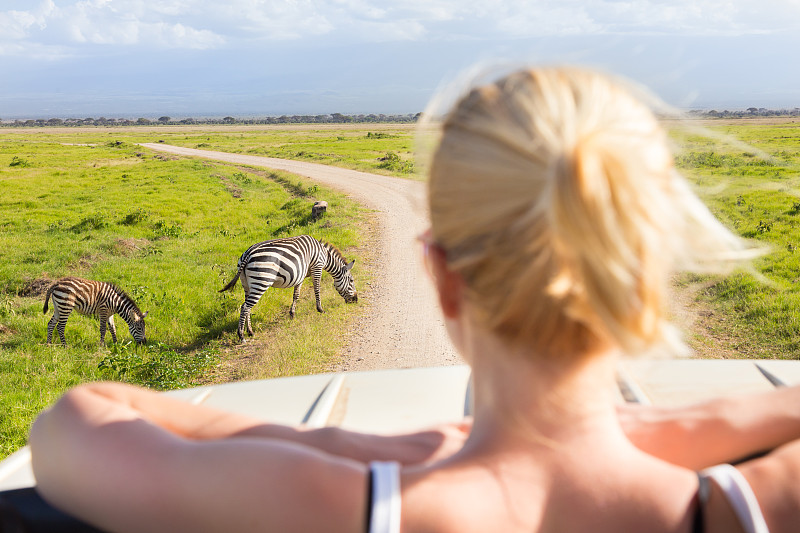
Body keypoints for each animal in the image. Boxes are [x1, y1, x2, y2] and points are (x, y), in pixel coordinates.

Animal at [219, 234, 356, 340]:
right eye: (352, 280)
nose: (355, 300)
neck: (325, 256)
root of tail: (248, 253)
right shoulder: (317, 267)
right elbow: (317, 289)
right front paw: (320, 309)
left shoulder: (301, 274)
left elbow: (296, 295)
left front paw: (292, 314)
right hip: (261, 281)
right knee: (245, 307)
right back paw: (241, 336)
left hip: (246, 284)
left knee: (247, 306)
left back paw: (250, 331)